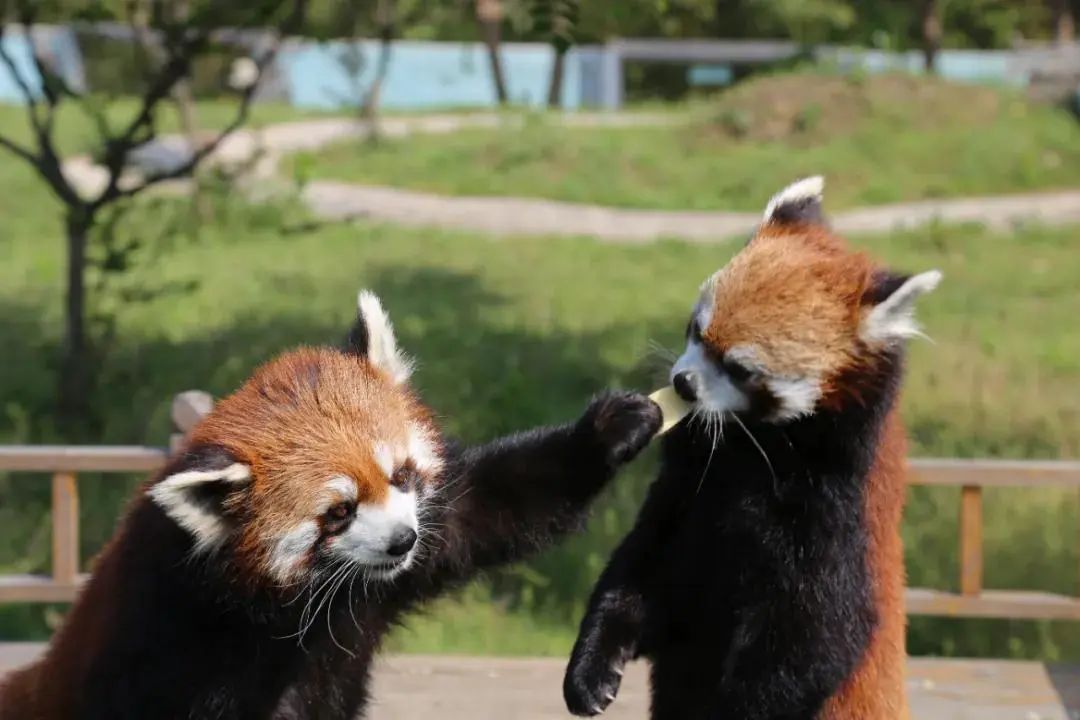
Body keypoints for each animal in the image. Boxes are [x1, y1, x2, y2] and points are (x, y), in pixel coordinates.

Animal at [0, 289, 660, 720]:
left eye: (401, 475)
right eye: (338, 512)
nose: (402, 540)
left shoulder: (417, 551)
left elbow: (501, 504)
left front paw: (608, 431)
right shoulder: (171, 638)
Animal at [565, 175, 937, 720]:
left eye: (740, 369)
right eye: (696, 330)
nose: (683, 383)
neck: (753, 448)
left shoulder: (835, 519)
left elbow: (813, 644)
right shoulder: (691, 492)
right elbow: (644, 569)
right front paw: (592, 666)